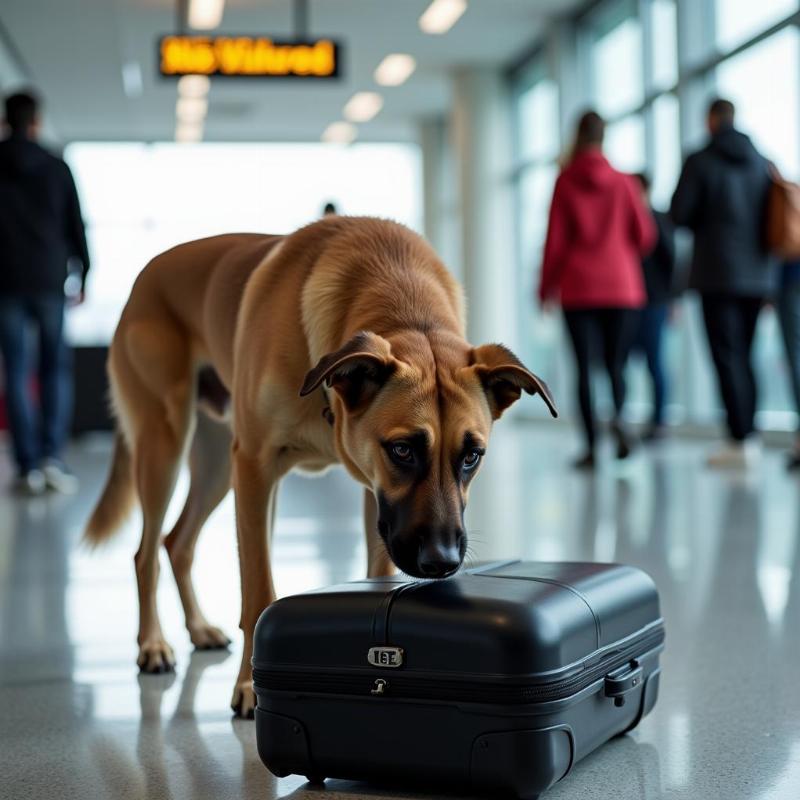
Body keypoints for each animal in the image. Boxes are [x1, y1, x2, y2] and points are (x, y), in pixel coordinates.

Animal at [83, 216, 556, 716]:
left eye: (471, 457)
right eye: (403, 450)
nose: (441, 562)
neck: (402, 298)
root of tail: (146, 276)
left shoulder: (372, 494)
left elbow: (377, 572)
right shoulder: (256, 467)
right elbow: (258, 592)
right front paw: (250, 686)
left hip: (215, 468)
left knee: (178, 542)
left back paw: (197, 628)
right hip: (166, 445)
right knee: (145, 553)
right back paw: (152, 644)